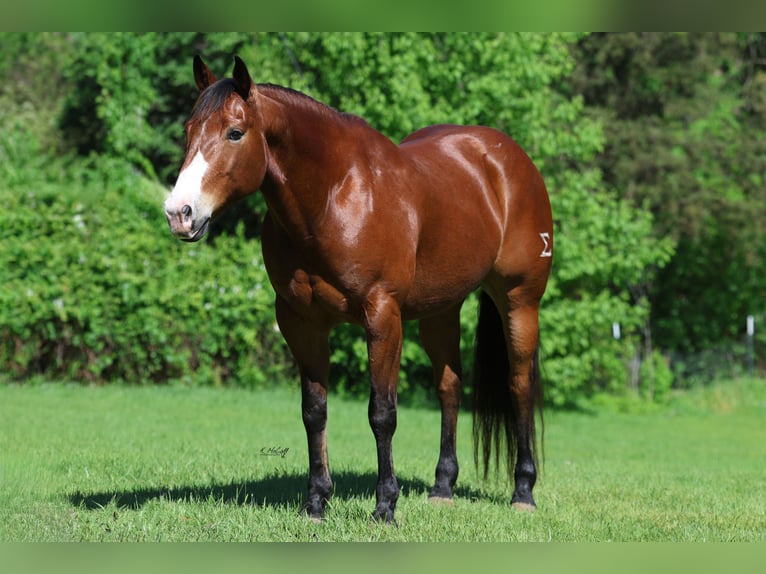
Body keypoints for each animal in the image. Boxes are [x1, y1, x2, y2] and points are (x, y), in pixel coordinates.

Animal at [164, 56, 553, 523]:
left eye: (234, 132)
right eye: (189, 130)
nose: (179, 213)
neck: (335, 197)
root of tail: (507, 158)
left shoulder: (382, 316)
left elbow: (382, 413)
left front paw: (385, 505)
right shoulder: (301, 322)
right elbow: (314, 412)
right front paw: (316, 501)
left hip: (519, 301)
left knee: (519, 385)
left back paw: (524, 492)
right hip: (441, 311)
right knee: (450, 387)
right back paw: (442, 487)